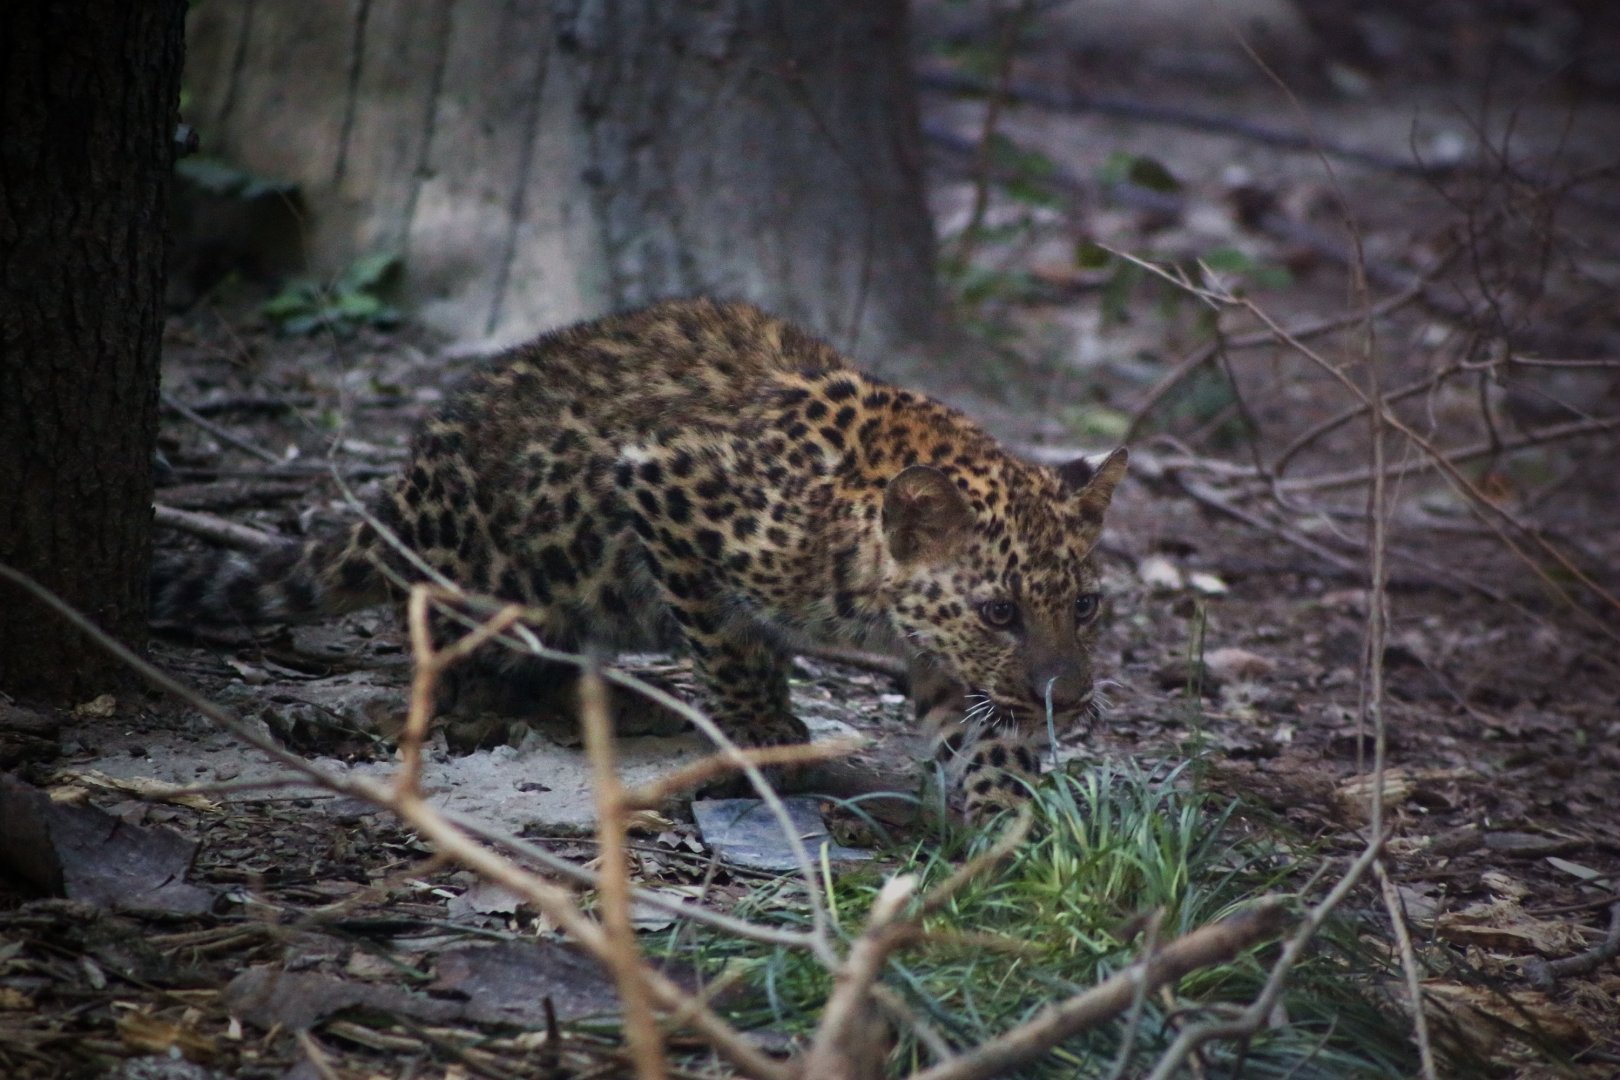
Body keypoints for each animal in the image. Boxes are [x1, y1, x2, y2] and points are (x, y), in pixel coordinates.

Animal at [152, 299, 1128, 816]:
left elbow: (983, 732)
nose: (1071, 698)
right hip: (515, 571)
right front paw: (768, 735)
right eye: (998, 611)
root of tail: (394, 495)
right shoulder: (667, 488)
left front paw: (1010, 824)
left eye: (1084, 606)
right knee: (461, 662)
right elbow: (735, 646)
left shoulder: (944, 659)